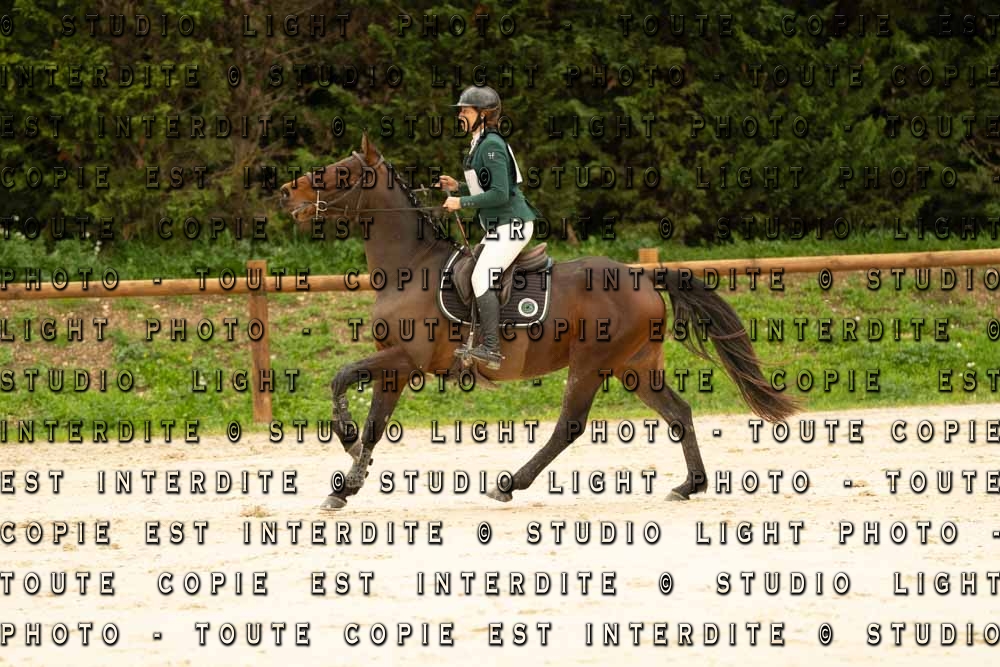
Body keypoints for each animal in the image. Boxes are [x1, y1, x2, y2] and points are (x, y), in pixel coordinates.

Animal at [279, 131, 800, 510]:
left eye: (340, 172)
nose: (286, 192)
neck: (411, 266)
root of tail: (641, 274)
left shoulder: (405, 359)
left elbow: (341, 379)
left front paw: (346, 448)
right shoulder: (396, 366)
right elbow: (373, 421)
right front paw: (346, 483)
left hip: (592, 363)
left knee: (569, 425)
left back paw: (509, 483)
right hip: (635, 366)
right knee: (679, 412)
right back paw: (689, 485)